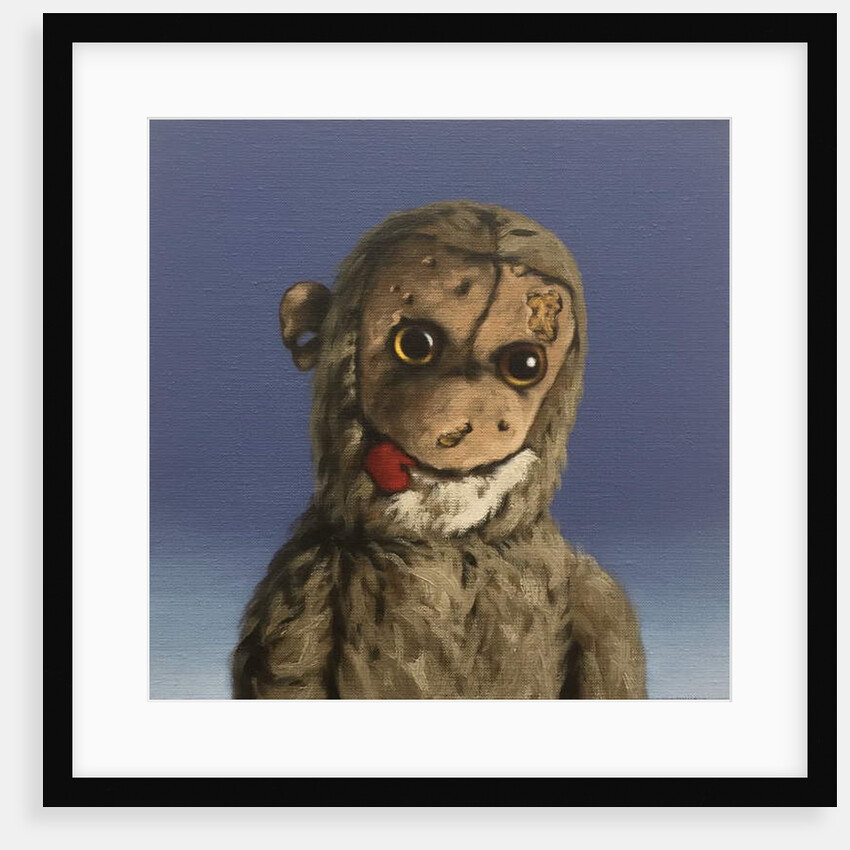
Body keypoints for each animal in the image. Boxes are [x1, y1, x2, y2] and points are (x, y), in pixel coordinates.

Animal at [232, 200, 646, 699]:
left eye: (525, 364)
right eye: (415, 344)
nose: (472, 411)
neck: (450, 544)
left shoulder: (602, 602)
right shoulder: (298, 591)